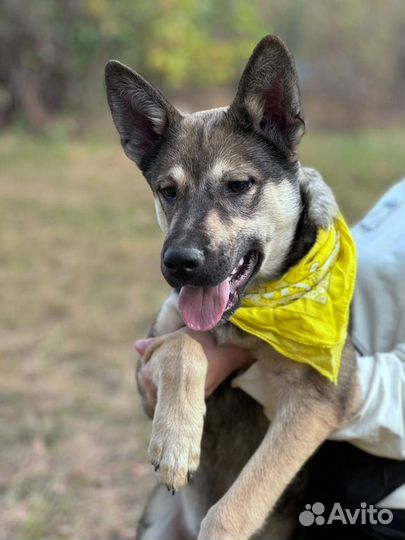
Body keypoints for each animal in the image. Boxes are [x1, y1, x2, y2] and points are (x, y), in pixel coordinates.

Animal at [105, 35, 360, 536]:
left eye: (238, 185)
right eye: (167, 190)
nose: (178, 264)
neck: (247, 317)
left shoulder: (324, 398)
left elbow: (236, 503)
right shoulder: (146, 366)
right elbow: (184, 345)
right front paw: (175, 443)